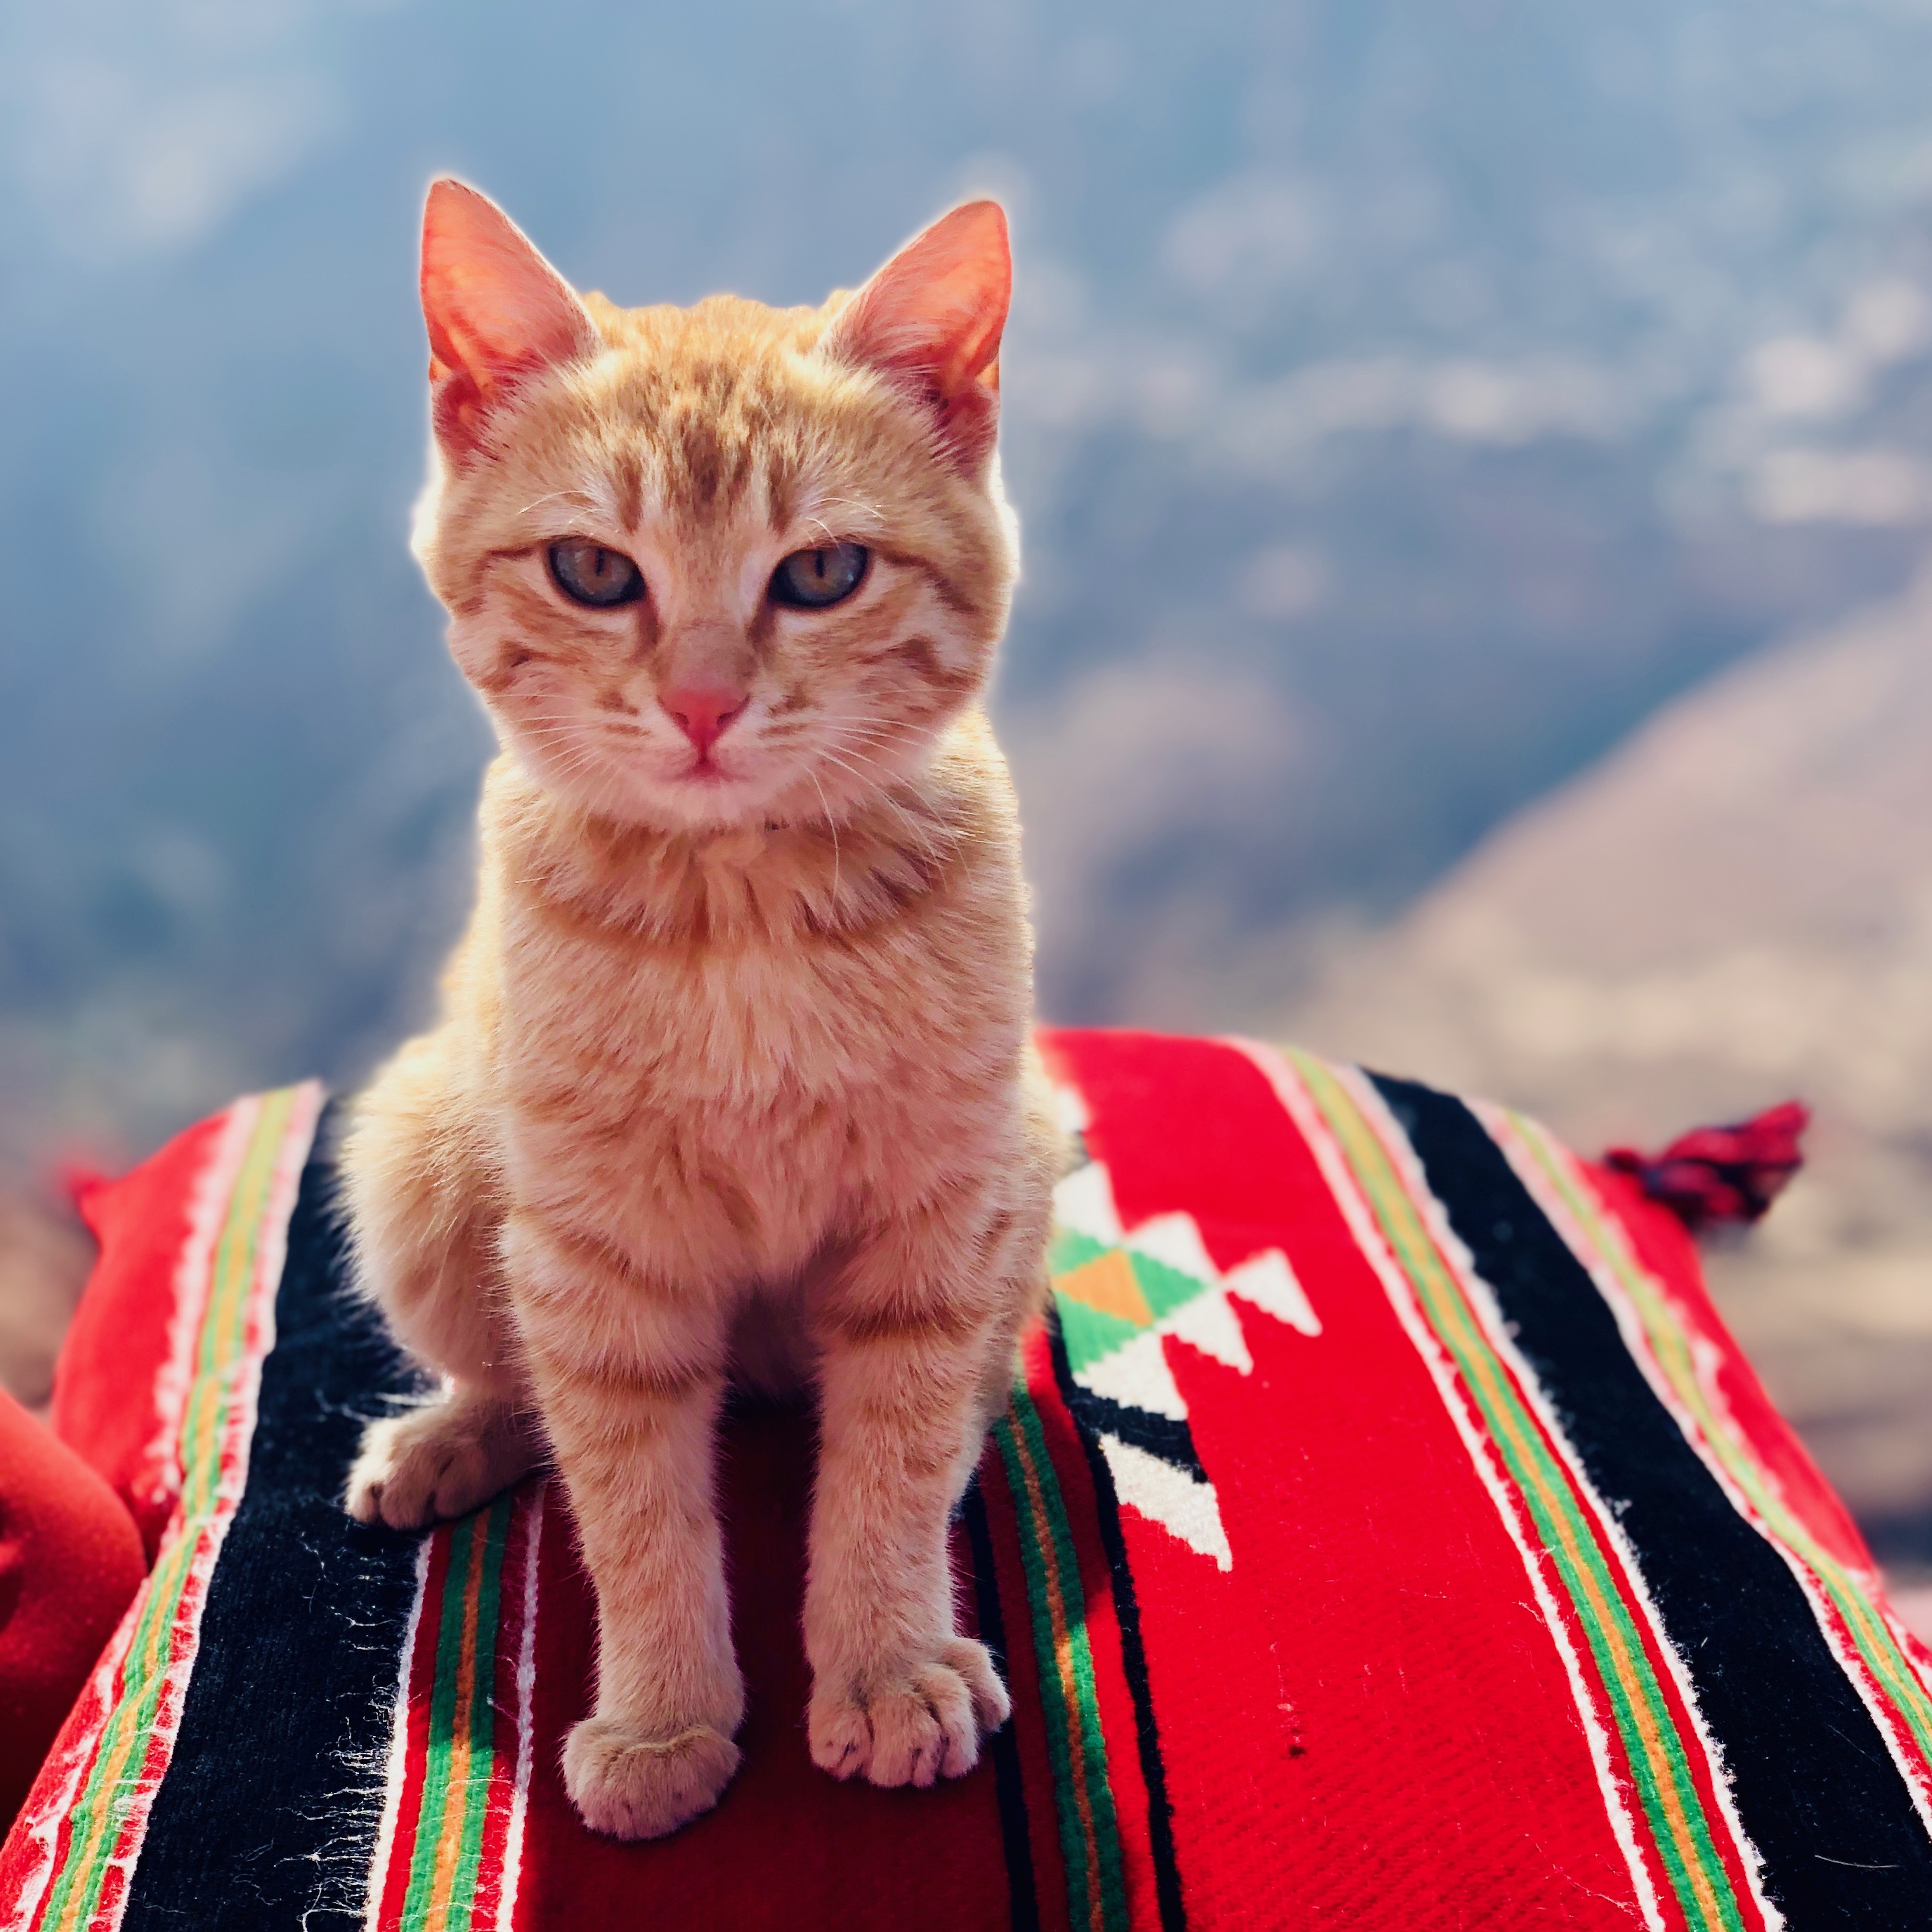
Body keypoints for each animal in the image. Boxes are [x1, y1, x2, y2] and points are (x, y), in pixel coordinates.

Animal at [334, 184, 1059, 1839]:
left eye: (822, 574)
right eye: (596, 573)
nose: (707, 704)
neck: (742, 913)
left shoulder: (939, 1215)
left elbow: (892, 1461)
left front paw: (886, 1661)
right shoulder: (597, 1256)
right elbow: (629, 1499)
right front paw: (663, 1716)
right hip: (422, 1151)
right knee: (511, 1371)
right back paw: (448, 1433)